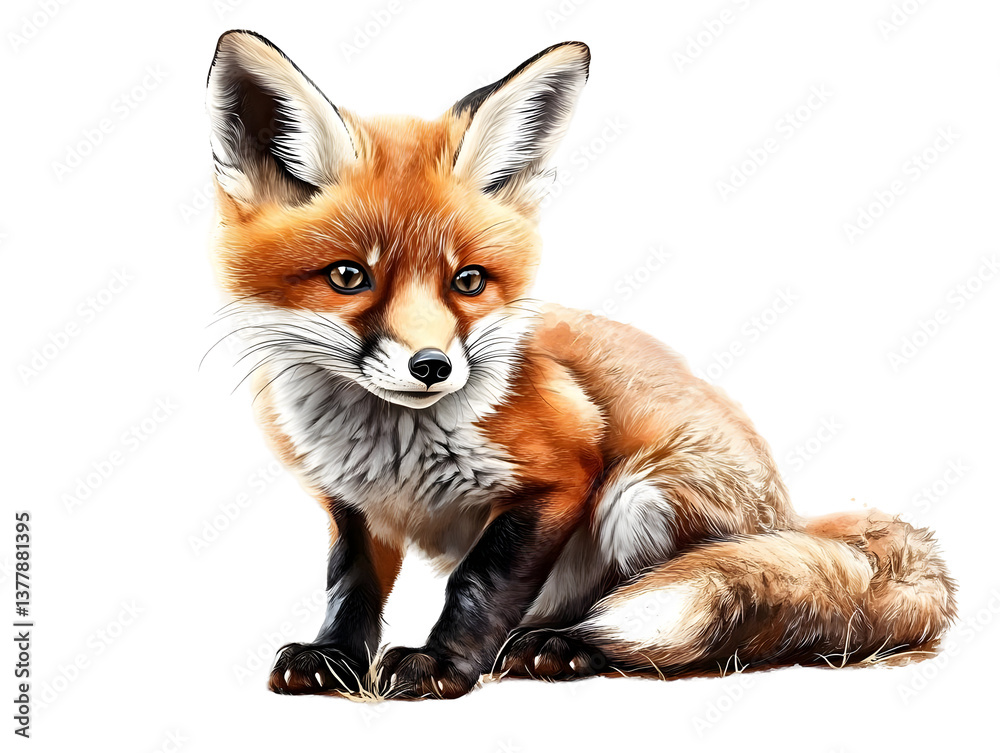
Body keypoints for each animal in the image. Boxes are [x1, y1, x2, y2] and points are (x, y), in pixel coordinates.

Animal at [205, 30, 956, 700]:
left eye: (469, 282)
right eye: (348, 276)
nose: (432, 367)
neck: (391, 448)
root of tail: (790, 517)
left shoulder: (561, 475)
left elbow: (478, 583)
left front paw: (441, 665)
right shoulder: (354, 503)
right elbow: (349, 585)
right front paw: (333, 657)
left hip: (641, 493)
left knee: (697, 627)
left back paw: (566, 647)